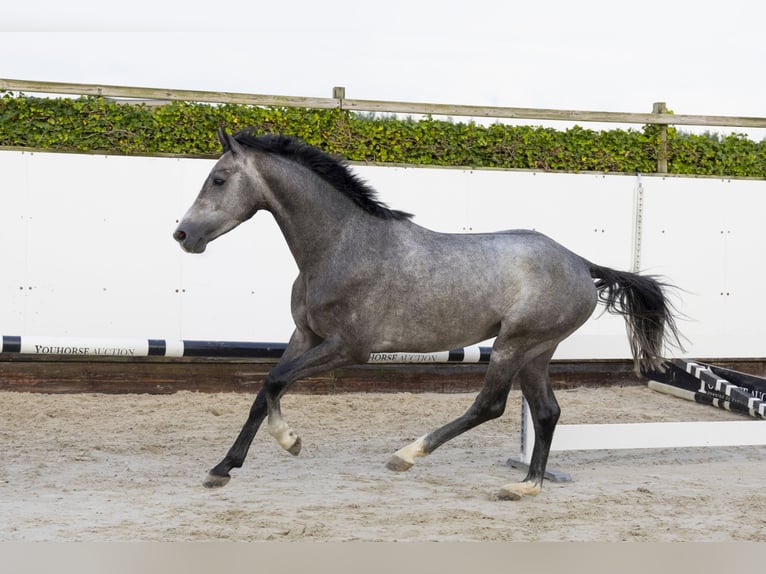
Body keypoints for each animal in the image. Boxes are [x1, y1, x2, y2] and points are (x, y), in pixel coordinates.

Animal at [171, 128, 680, 502]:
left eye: (219, 179)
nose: (182, 235)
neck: (341, 246)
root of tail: (581, 263)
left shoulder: (347, 348)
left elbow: (276, 382)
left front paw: (286, 442)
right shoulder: (304, 336)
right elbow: (265, 390)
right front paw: (225, 467)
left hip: (514, 344)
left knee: (490, 405)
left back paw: (407, 454)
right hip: (536, 352)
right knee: (547, 412)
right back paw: (526, 485)